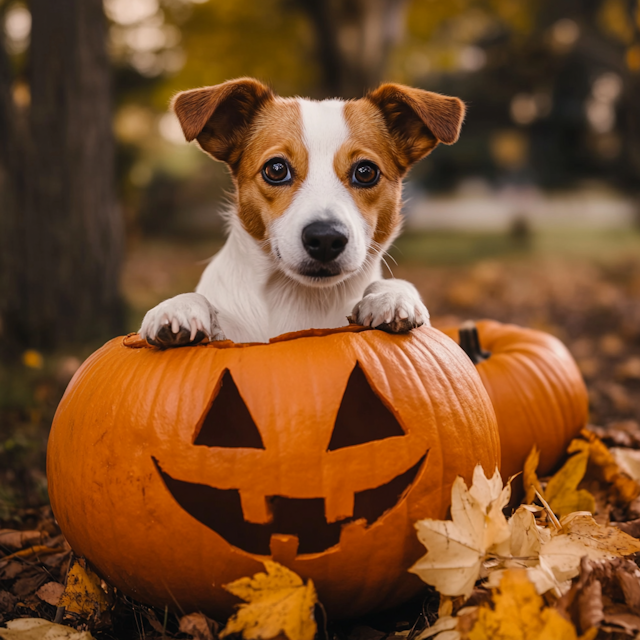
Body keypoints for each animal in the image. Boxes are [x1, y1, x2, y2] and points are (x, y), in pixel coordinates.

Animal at [139, 78, 464, 348]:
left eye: (366, 172)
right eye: (276, 169)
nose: (325, 238)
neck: (302, 300)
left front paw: (391, 295)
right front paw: (179, 307)